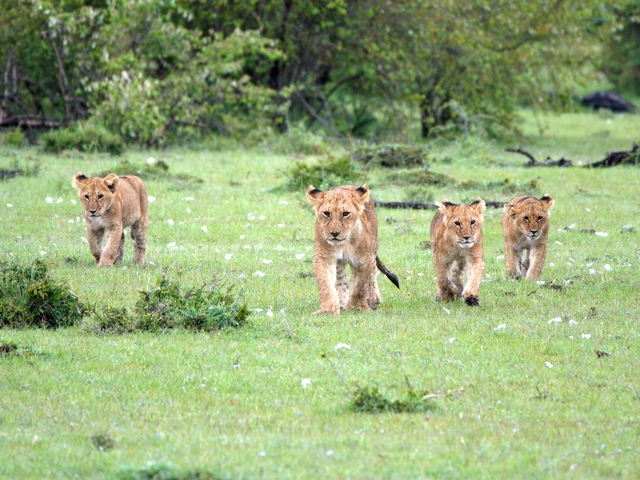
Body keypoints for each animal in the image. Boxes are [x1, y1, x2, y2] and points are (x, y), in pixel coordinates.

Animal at [306, 184, 399, 315]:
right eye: (326, 213)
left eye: (345, 213)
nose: (334, 233)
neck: (343, 244)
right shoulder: (323, 258)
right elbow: (325, 284)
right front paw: (328, 310)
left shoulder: (365, 260)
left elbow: (359, 286)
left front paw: (357, 307)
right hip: (340, 263)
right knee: (341, 279)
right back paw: (342, 302)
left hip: (373, 246)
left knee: (372, 274)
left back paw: (373, 299)